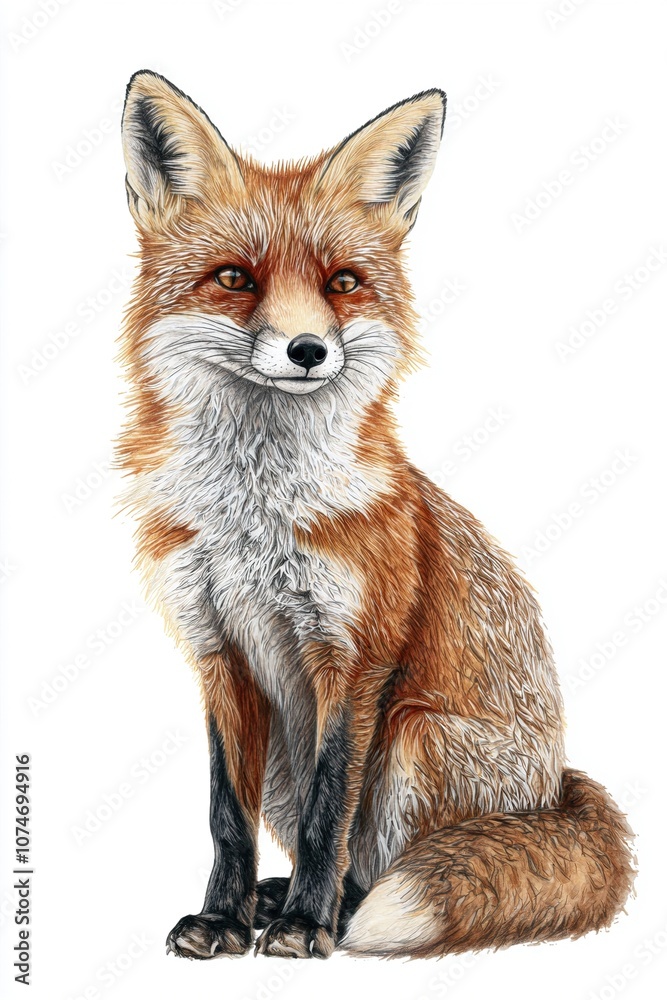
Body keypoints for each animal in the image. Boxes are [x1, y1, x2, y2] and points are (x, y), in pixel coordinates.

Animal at [118, 70, 634, 960]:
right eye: (235, 278)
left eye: (342, 283)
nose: (307, 351)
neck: (255, 515)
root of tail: (554, 787)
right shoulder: (218, 651)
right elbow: (224, 814)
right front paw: (222, 919)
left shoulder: (354, 655)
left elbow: (332, 810)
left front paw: (301, 928)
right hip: (291, 759)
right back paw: (271, 899)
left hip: (413, 736)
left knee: (371, 865)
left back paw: (325, 911)